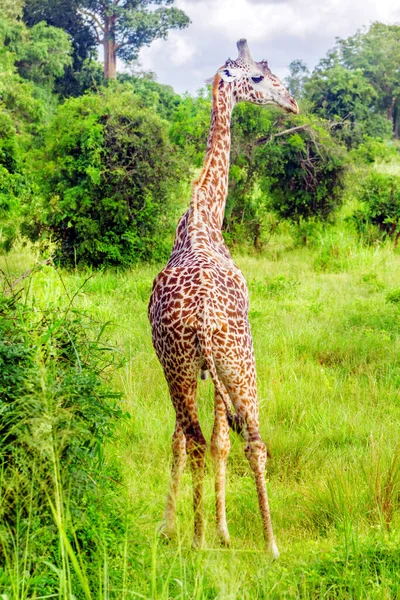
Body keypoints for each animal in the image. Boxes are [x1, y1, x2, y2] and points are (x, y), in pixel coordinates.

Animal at [148, 39, 298, 560]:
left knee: (198, 438)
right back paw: (266, 544)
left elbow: (200, 440)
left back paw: (200, 538)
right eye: (257, 78)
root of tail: (203, 318)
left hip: (186, 368)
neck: (204, 216)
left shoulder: (195, 368)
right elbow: (218, 441)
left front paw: (191, 527)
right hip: (237, 363)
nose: (292, 102)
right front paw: (217, 528)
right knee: (250, 440)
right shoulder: (210, 370)